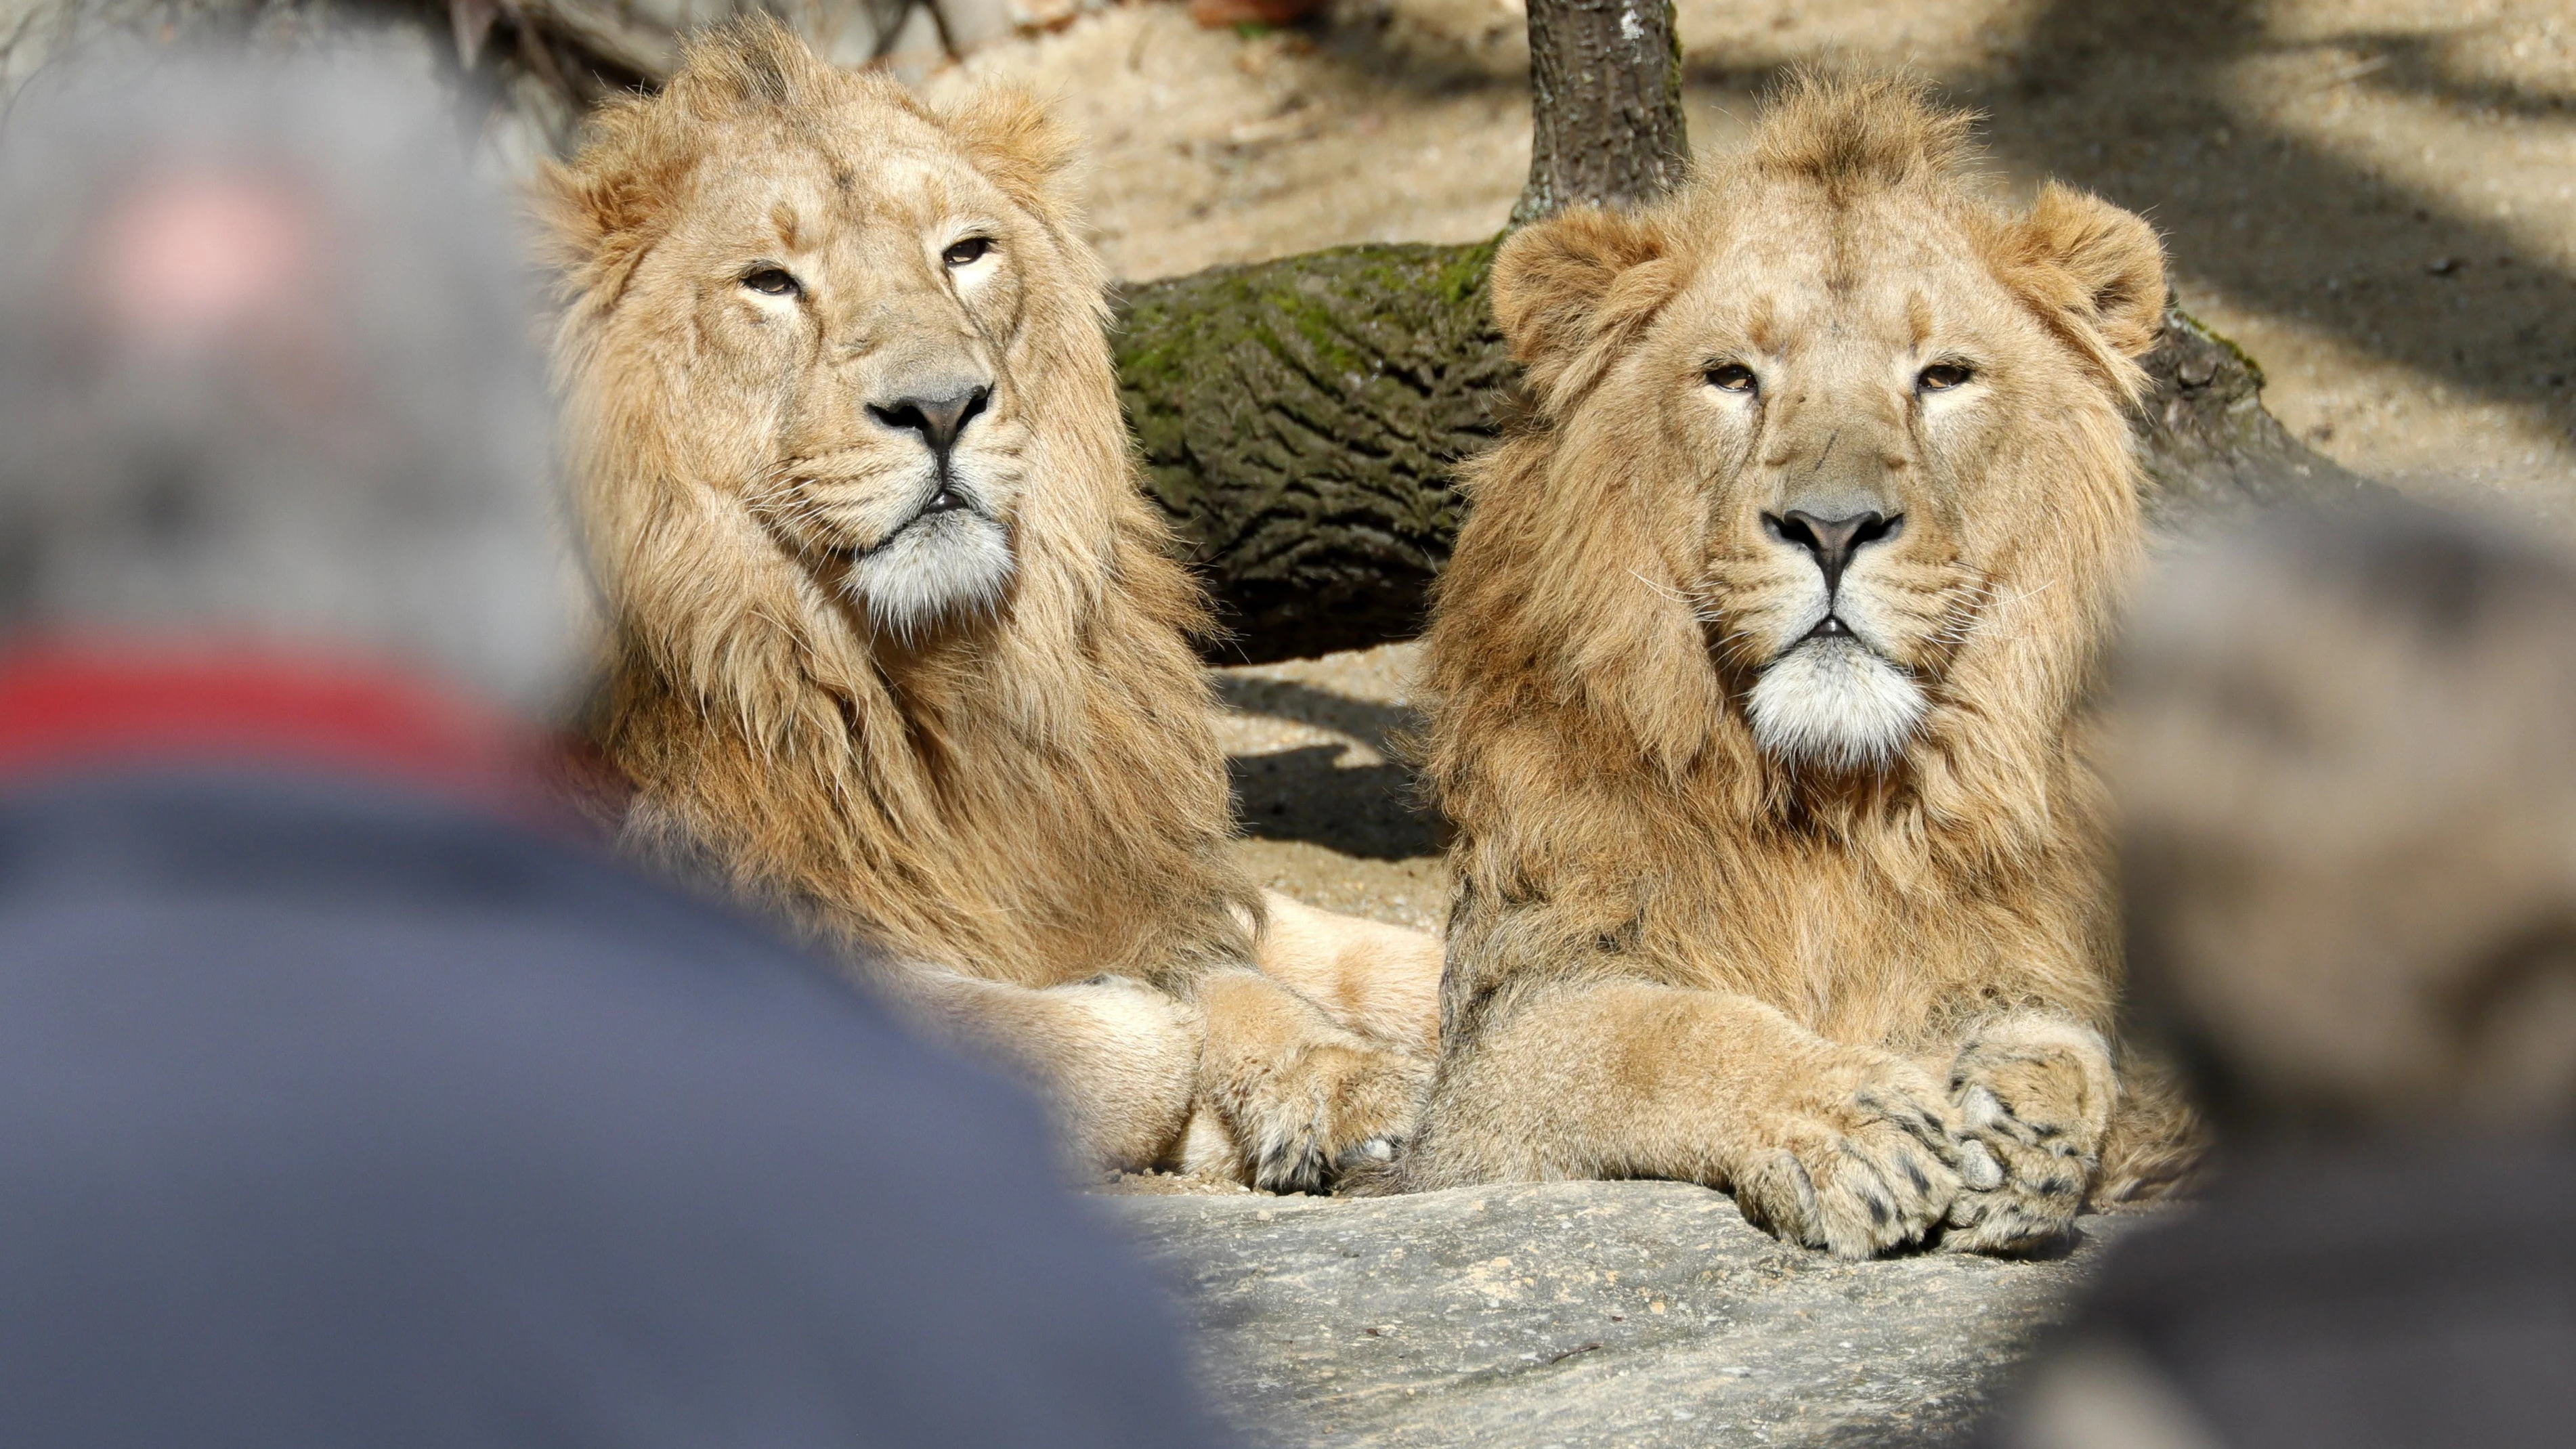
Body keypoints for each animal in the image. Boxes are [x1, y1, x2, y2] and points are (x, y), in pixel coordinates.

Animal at [536, 20, 1442, 1189]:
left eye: (965, 252)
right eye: (769, 282)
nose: (940, 406)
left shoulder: (1110, 850)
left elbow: (1332, 952)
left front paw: (1345, 1079)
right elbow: (1108, 1041)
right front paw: (1172, 1057)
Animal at [1401, 77, 2205, 1261]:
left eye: (1943, 377)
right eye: (1733, 377)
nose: (1833, 528)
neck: (1831, 800)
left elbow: (2058, 1034)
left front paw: (2026, 1127)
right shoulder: (1489, 1067)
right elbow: (1652, 1032)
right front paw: (1847, 1119)